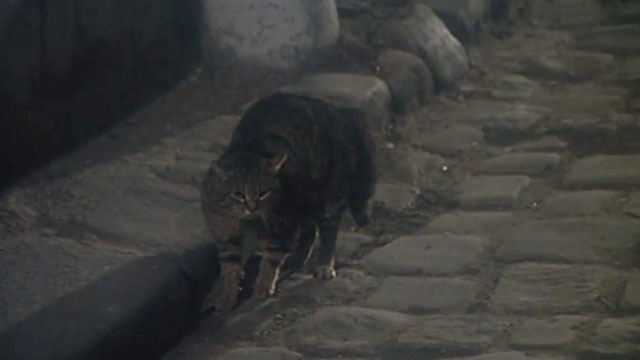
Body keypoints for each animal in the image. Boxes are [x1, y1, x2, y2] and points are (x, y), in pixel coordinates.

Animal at [201, 92, 376, 310]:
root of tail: (336, 111)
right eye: (238, 194)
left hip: (326, 196)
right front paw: (227, 296)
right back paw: (297, 259)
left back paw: (324, 265)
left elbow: (270, 260)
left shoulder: (281, 225)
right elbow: (230, 267)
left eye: (264, 193)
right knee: (309, 232)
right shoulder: (225, 234)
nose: (252, 206)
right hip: (304, 202)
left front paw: (262, 288)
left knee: (327, 233)